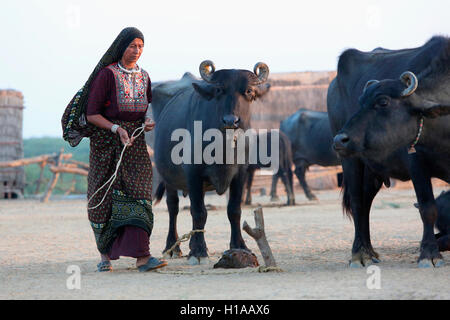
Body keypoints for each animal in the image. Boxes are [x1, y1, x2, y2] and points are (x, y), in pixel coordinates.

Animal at [151, 61, 270, 264]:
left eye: (248, 91)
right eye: (219, 89)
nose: (231, 120)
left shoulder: (241, 173)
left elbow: (234, 210)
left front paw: (239, 245)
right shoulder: (193, 173)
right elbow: (199, 212)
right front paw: (198, 251)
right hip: (167, 178)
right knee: (173, 207)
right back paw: (172, 247)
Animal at [326, 35, 450, 268]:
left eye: (382, 102)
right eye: (361, 102)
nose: (339, 139)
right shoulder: (416, 162)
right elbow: (427, 208)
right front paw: (429, 254)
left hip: (373, 170)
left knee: (366, 202)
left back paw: (370, 250)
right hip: (351, 161)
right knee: (357, 202)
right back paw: (360, 254)